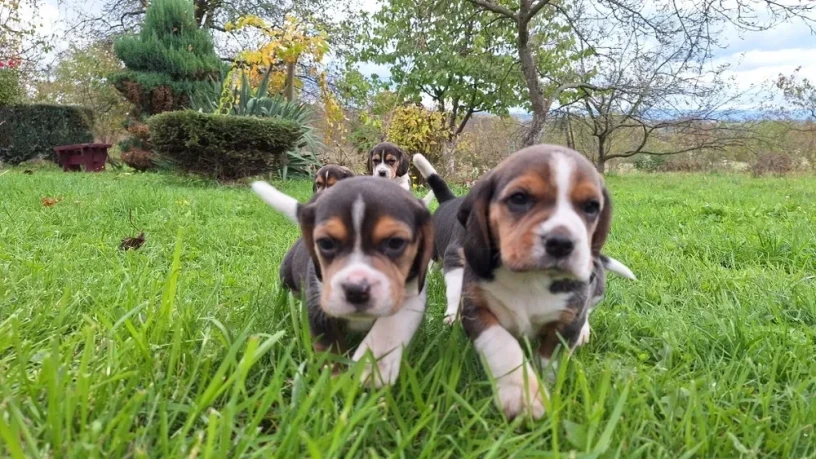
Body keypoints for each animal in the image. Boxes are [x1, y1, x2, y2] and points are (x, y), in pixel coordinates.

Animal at [414, 146, 632, 420]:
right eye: (519, 198)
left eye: (591, 207)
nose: (561, 242)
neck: (530, 279)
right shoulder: (477, 308)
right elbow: (501, 345)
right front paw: (520, 393)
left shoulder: (566, 322)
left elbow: (551, 360)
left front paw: (545, 388)